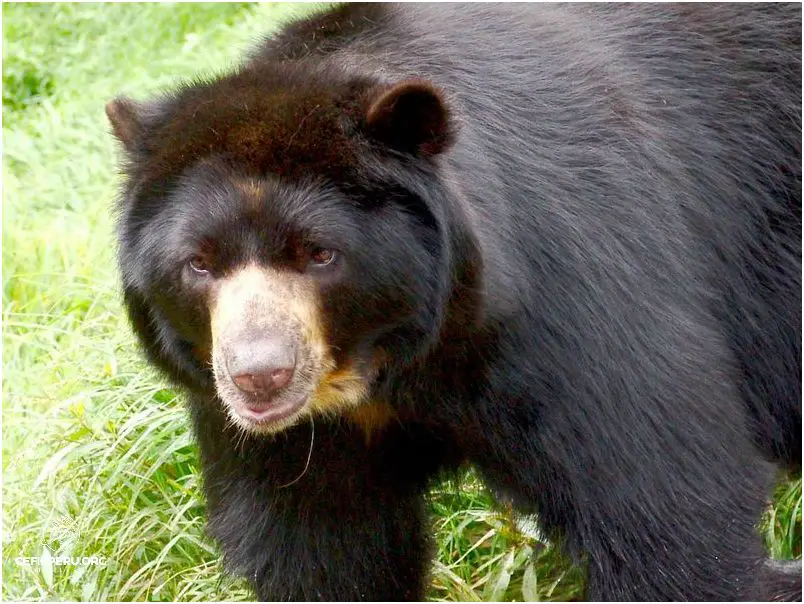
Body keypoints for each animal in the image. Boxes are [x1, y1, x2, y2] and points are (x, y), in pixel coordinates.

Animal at [108, 3, 804, 600]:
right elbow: (319, 546)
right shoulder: (296, 439)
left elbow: (661, 501)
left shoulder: (572, 290)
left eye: (319, 254)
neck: (391, 360)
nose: (260, 377)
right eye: (200, 264)